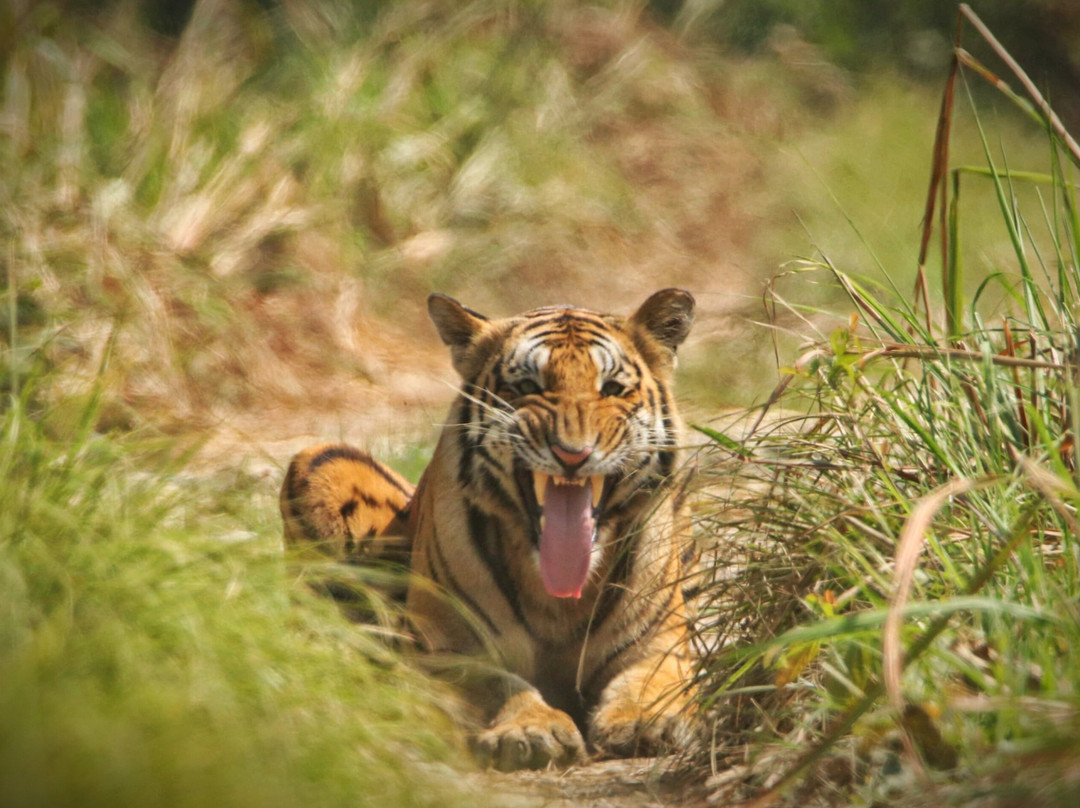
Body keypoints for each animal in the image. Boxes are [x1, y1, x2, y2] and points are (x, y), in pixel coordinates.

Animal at [280, 288, 698, 771]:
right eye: (527, 388)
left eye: (611, 388)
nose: (573, 454)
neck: (558, 599)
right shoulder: (445, 650)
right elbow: (498, 684)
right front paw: (531, 729)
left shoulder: (660, 647)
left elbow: (650, 683)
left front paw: (645, 721)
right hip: (320, 459)